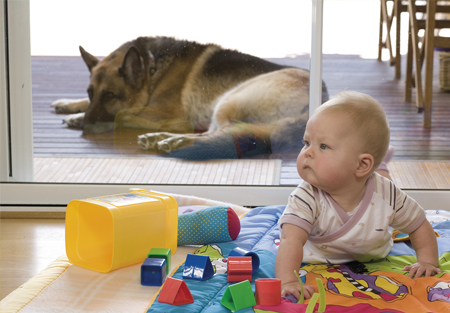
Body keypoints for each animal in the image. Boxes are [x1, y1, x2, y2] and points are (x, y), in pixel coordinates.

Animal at [51, 36, 326, 158]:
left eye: (110, 96)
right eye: (91, 92)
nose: (86, 126)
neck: (152, 68)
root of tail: (321, 98)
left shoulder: (169, 114)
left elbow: (122, 115)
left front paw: (82, 118)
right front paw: (70, 106)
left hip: (230, 99)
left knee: (225, 134)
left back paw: (175, 141)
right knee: (218, 132)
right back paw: (161, 138)